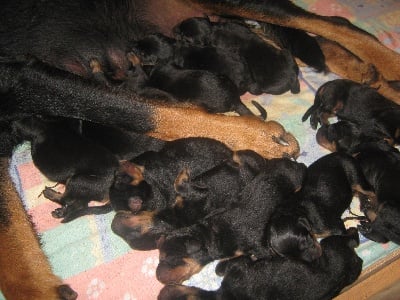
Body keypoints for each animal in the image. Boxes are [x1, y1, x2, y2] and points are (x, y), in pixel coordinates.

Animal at [159, 227, 362, 300]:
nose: (161, 291)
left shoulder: (238, 269)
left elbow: (222, 267)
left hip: (331, 245)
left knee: (349, 238)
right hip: (351, 268)